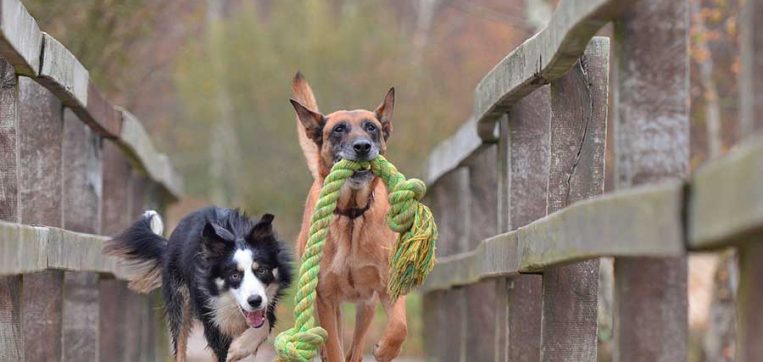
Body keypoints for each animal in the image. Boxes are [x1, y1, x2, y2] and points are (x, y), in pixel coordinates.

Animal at [107, 208, 296, 360]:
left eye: (262, 270)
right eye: (234, 275)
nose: (255, 301)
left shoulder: (268, 304)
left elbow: (264, 324)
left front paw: (238, 349)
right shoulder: (212, 319)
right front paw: (234, 350)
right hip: (179, 300)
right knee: (180, 345)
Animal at [290, 71, 408, 362]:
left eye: (371, 127)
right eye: (339, 129)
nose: (362, 146)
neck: (353, 216)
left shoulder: (387, 285)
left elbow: (399, 326)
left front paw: (386, 350)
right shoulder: (324, 297)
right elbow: (333, 347)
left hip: (366, 306)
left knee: (356, 348)